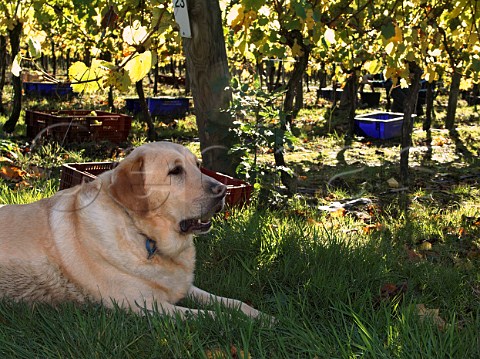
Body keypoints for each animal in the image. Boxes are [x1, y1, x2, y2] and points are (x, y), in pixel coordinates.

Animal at [0, 142, 262, 320]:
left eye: (198, 166)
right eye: (175, 171)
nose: (223, 190)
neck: (143, 234)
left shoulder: (184, 286)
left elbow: (234, 303)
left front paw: (261, 316)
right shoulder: (144, 305)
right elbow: (214, 316)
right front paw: (244, 323)